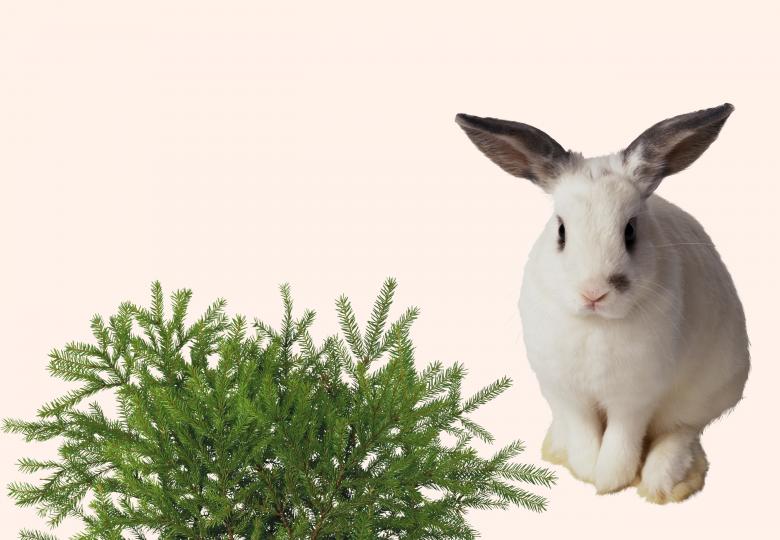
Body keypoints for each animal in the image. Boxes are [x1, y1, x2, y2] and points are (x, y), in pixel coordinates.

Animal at [455, 104, 750, 504]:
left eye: (630, 231)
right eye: (561, 230)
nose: (594, 292)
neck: (595, 324)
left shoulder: (635, 397)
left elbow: (621, 441)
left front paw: (610, 481)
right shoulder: (567, 393)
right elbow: (584, 434)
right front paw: (585, 469)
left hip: (707, 390)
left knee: (680, 431)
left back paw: (662, 482)